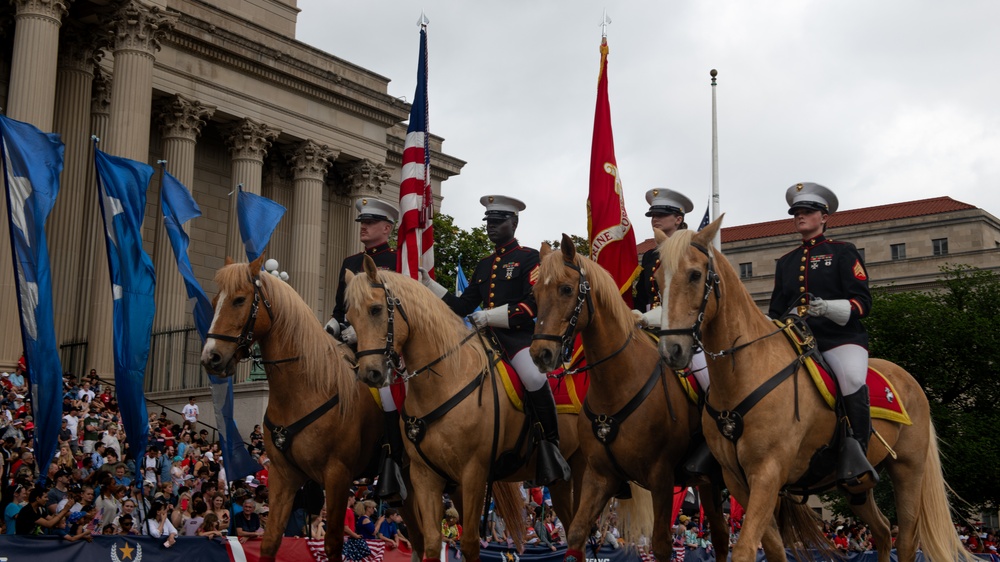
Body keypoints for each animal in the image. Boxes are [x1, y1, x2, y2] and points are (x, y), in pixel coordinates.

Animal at [201, 256, 424, 560]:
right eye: (214, 302)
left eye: (238, 300)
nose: (210, 357)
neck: (306, 388)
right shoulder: (283, 476)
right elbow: (271, 540)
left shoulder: (338, 475)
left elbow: (333, 543)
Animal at [344, 256, 584, 560]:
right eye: (350, 317)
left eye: (375, 309)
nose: (370, 374)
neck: (445, 380)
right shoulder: (425, 476)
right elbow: (432, 543)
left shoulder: (474, 474)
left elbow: (469, 542)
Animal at [528, 234, 732, 560]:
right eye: (535, 293)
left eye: (566, 289)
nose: (540, 354)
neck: (617, 382)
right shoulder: (598, 476)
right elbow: (576, 532)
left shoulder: (660, 478)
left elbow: (661, 544)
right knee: (724, 534)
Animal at [652, 218, 972, 560]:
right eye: (657, 279)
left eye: (695, 275)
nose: (671, 350)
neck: (743, 372)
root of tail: (909, 380)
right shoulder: (736, 478)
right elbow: (772, 547)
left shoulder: (768, 471)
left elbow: (745, 549)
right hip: (855, 485)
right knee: (884, 529)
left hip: (908, 470)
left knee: (907, 539)